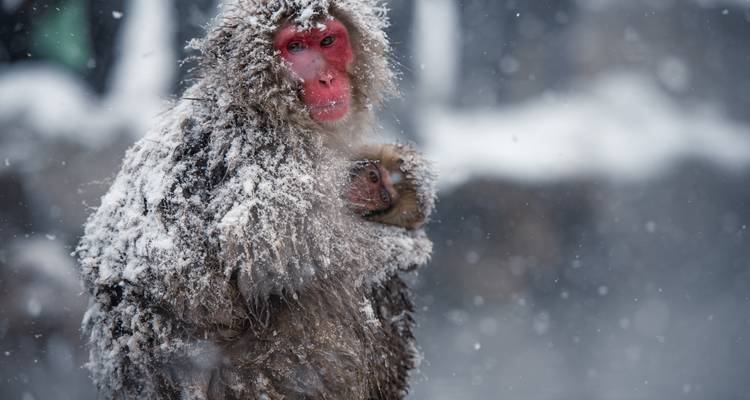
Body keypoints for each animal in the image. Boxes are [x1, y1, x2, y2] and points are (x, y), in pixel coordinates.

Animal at [76, 1, 436, 399]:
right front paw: (403, 247)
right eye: (296, 47)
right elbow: (270, 247)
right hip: (265, 375)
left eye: (327, 41)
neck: (264, 104)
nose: (327, 79)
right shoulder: (266, 150)